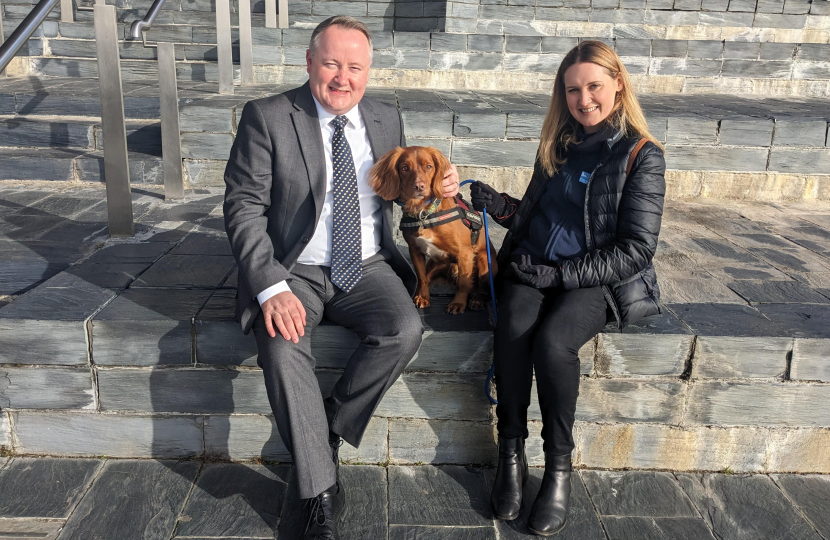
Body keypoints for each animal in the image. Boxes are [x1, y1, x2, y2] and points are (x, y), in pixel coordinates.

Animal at [372, 148, 500, 314]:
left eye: (428, 167)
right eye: (404, 168)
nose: (419, 186)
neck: (424, 213)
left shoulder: (465, 253)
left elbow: (463, 282)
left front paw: (458, 303)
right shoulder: (415, 250)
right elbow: (421, 277)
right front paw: (423, 297)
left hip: (485, 261)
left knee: (483, 286)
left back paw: (477, 299)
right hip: (435, 263)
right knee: (427, 277)